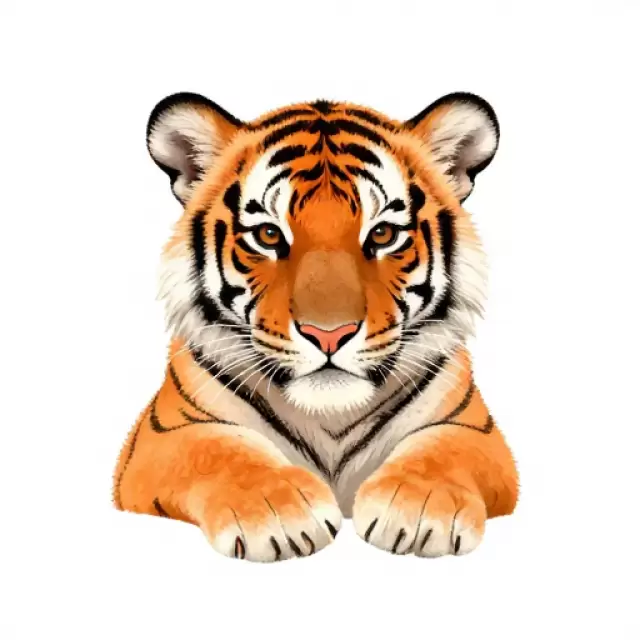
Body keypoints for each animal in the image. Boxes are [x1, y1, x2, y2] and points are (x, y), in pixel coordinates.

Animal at [113, 91, 519, 562]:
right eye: (268, 236)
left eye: (382, 235)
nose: (329, 334)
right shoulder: (161, 435)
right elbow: (219, 450)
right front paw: (276, 513)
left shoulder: (474, 427)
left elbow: (443, 451)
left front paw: (418, 513)